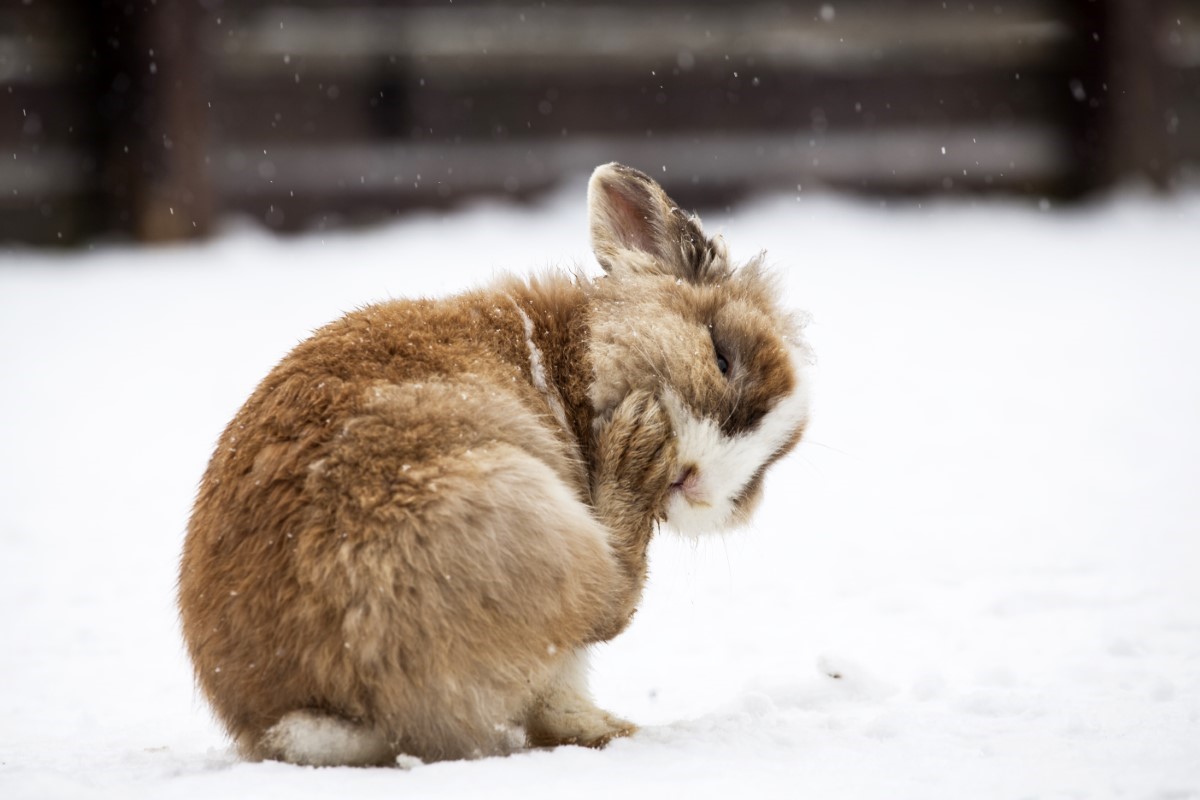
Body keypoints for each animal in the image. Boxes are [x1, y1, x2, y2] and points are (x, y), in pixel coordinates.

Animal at [175, 163, 816, 767]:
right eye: (721, 356)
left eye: (768, 465)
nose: (700, 483)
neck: (572, 360)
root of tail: (314, 712)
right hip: (531, 513)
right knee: (607, 606)